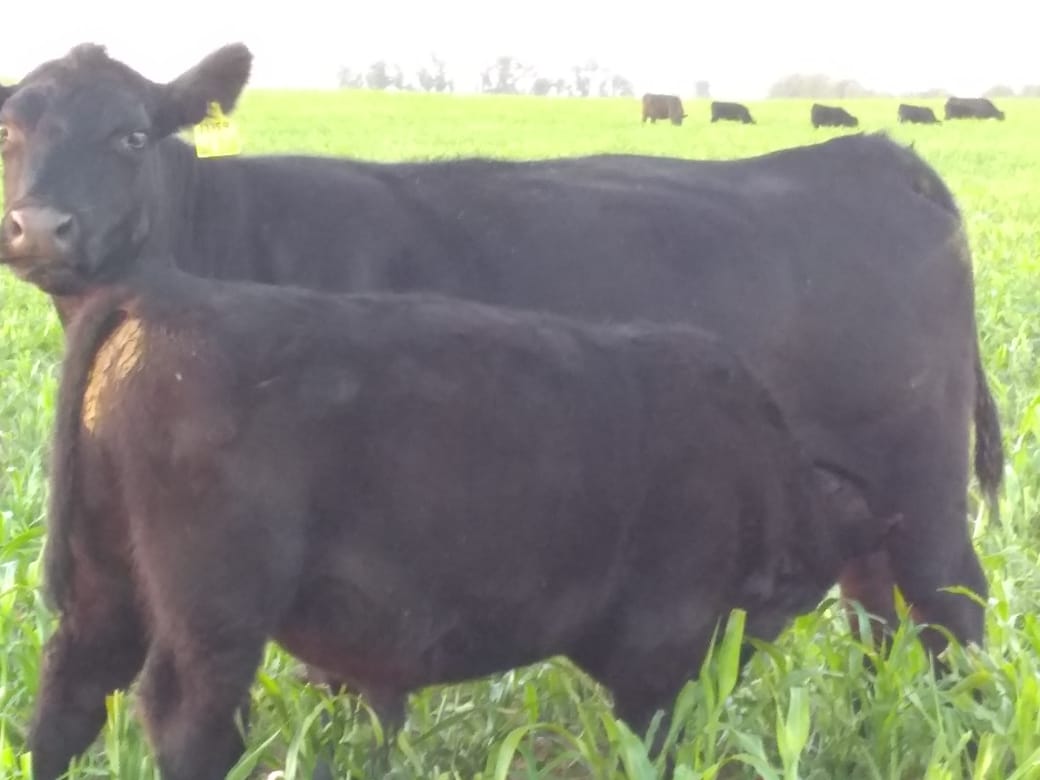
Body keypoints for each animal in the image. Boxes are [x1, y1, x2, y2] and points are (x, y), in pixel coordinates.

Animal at [0, 43, 1003, 669]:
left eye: (132, 134)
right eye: (10, 131)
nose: (41, 226)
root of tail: (874, 155)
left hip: (918, 467)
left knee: (950, 601)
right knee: (878, 604)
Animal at [6, 256, 896, 780]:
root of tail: (158, 292)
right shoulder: (663, 646)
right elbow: (654, 735)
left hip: (107, 582)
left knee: (72, 688)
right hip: (214, 614)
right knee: (188, 717)